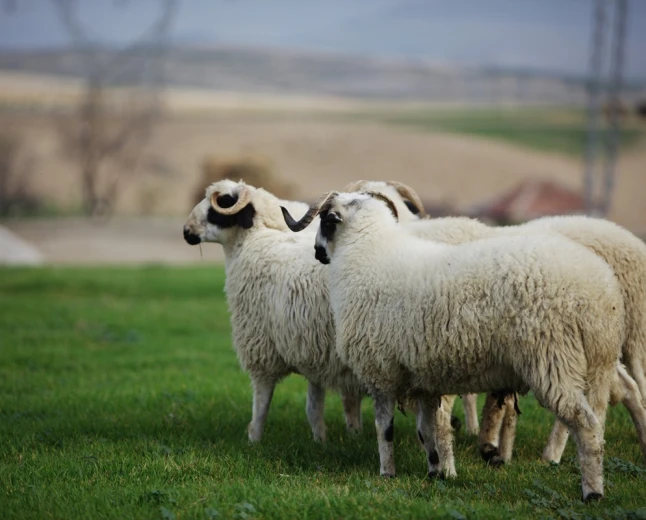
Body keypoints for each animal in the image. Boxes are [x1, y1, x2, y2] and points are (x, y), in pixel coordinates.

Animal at [281, 191, 625, 501]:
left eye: (326, 220)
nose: (317, 253)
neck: (367, 254)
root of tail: (600, 291)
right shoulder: (420, 377)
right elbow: (426, 430)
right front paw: (435, 472)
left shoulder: (382, 372)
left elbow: (385, 428)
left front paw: (387, 472)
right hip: (598, 366)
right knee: (599, 425)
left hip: (554, 359)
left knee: (586, 427)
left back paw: (592, 493)